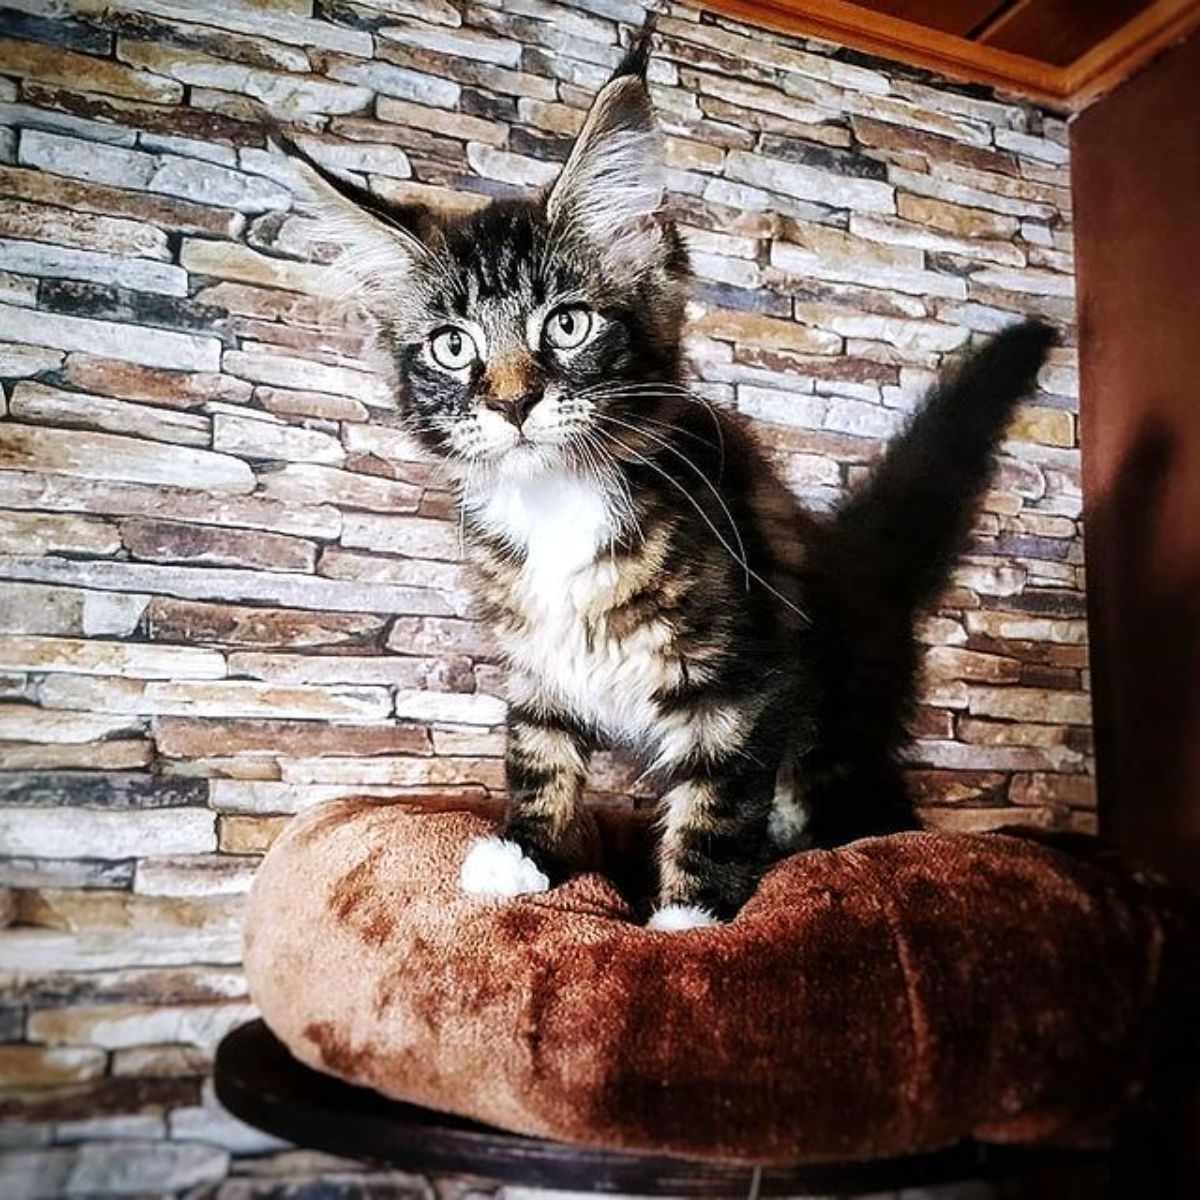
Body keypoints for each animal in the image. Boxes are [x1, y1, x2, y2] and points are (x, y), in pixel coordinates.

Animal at [278, 30, 1051, 926]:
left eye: (567, 325)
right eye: (452, 345)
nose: (511, 403)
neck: (560, 503)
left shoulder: (743, 680)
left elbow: (715, 802)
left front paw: (688, 922)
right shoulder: (537, 661)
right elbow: (537, 754)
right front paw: (525, 855)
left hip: (832, 728)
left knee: (862, 814)